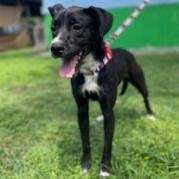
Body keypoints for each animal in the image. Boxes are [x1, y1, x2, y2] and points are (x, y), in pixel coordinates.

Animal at [48, 3, 155, 176]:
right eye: (53, 28)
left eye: (77, 27)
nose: (55, 48)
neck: (90, 69)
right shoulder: (81, 109)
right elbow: (85, 141)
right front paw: (85, 166)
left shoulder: (109, 111)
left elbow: (107, 142)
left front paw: (105, 169)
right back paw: (100, 117)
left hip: (140, 81)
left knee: (145, 97)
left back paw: (150, 114)